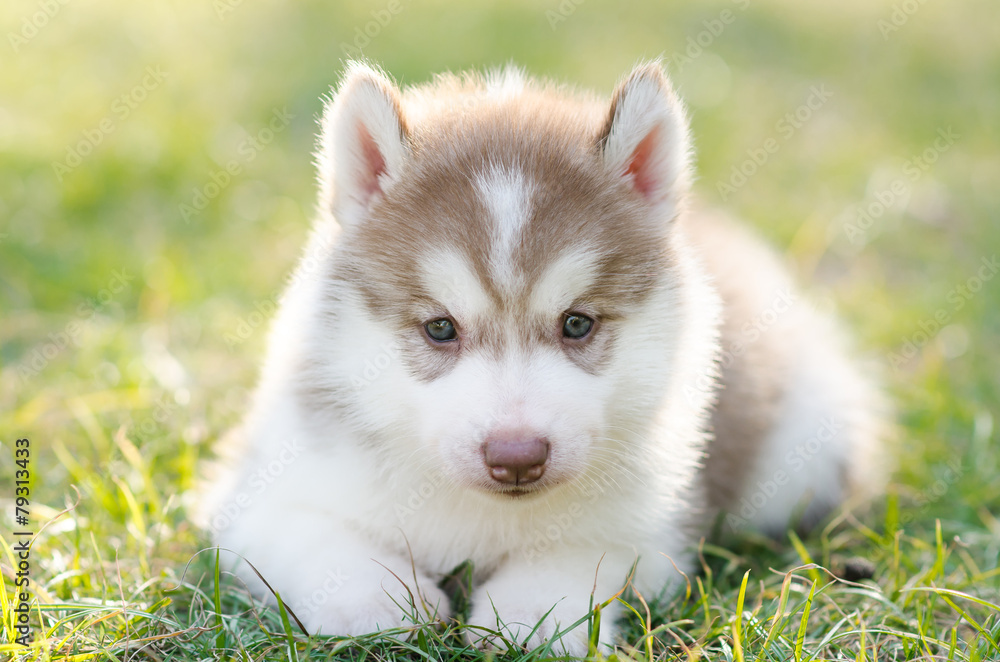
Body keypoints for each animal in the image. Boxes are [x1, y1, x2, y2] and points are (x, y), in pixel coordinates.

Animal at [199, 61, 888, 652]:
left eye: (576, 323)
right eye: (440, 328)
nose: (516, 457)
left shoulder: (655, 523)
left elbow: (582, 554)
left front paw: (531, 613)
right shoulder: (257, 494)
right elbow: (314, 535)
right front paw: (373, 600)